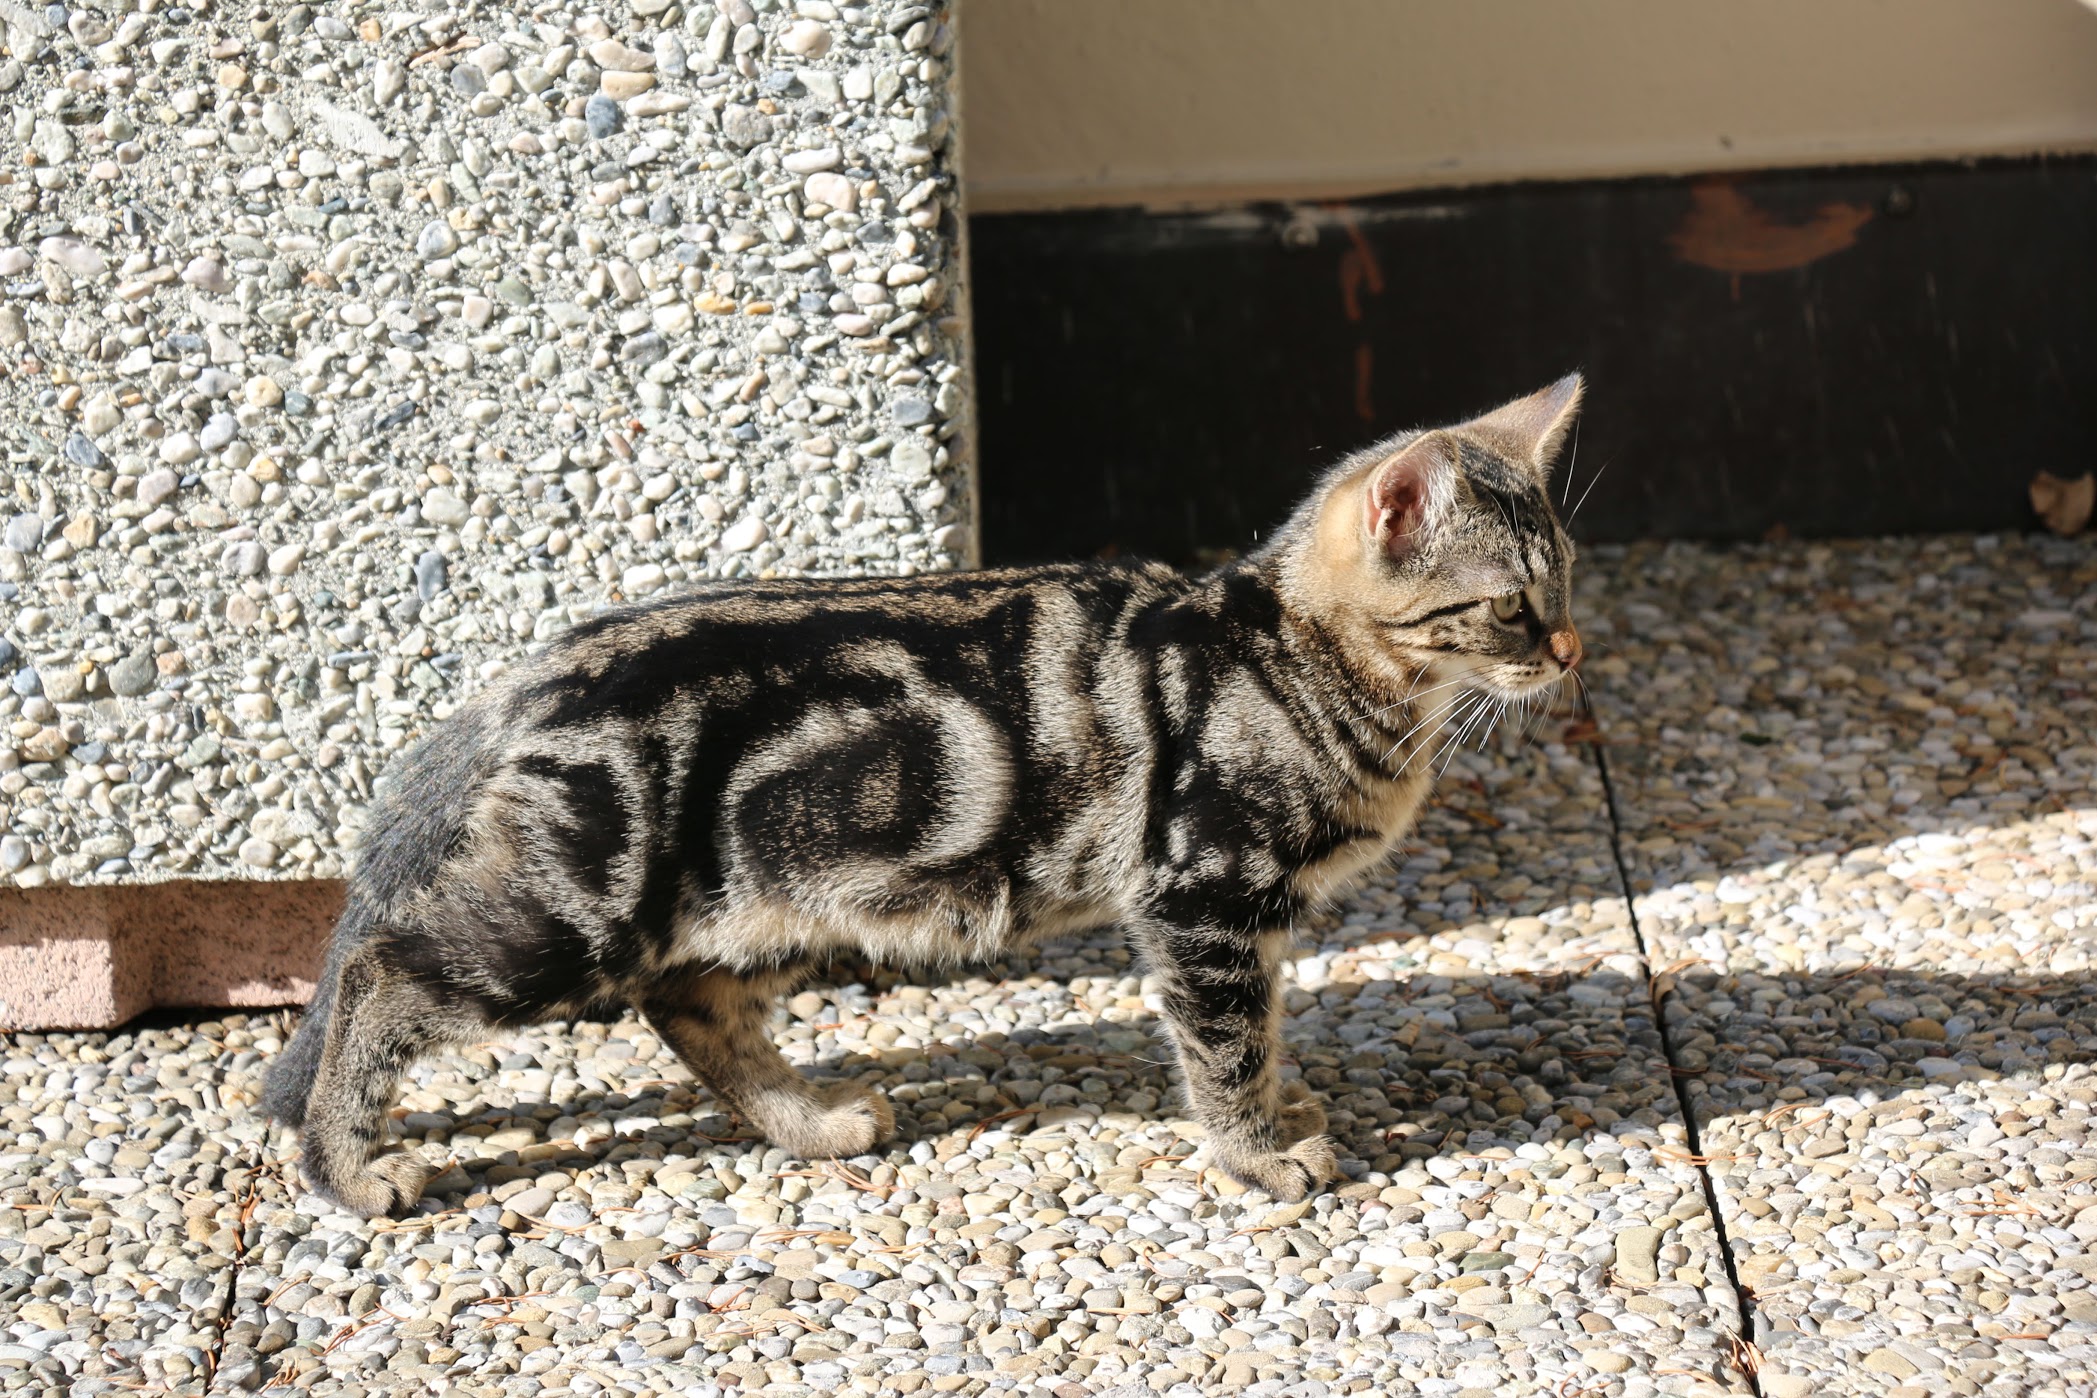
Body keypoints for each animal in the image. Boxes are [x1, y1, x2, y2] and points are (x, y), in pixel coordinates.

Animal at [262, 374, 1588, 1217]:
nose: (1573, 652)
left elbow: (1259, 1035)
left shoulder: (1236, 916)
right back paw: (348, 1172)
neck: (1301, 661)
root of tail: (528, 676)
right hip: (574, 911)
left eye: (1567, 581)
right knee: (380, 972)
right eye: (1511, 607)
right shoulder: (1203, 898)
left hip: (778, 899)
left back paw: (813, 1126)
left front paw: (1281, 1109)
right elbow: (1223, 1046)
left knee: (689, 1008)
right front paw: (1259, 1158)